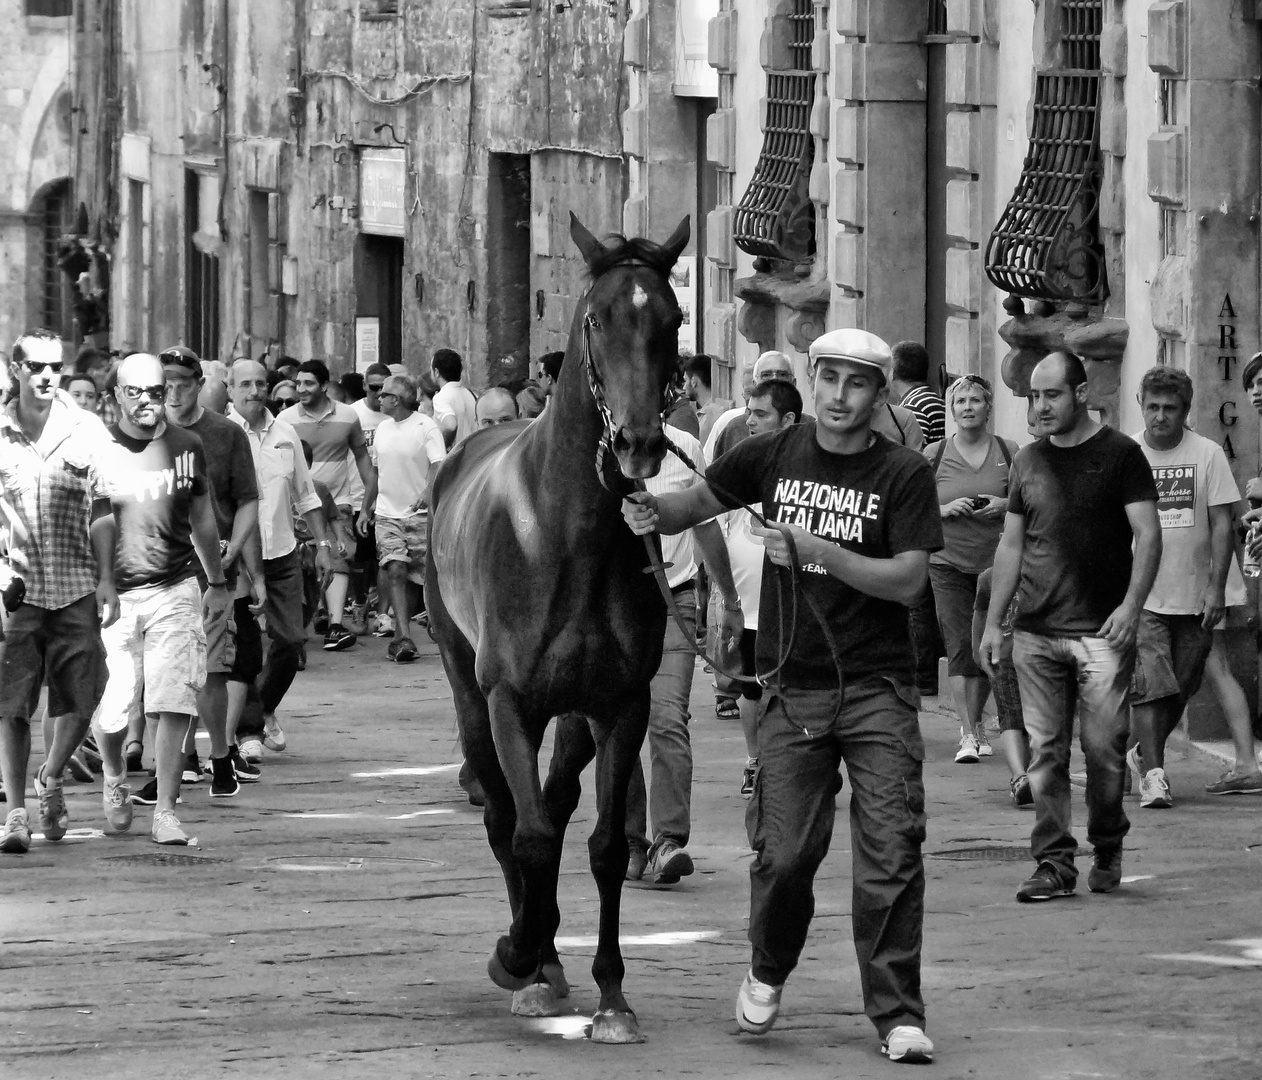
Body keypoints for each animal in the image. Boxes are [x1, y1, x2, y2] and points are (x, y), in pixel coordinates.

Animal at [429, 213, 696, 1044]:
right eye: (598, 318)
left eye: (673, 318)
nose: (640, 441)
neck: (564, 531)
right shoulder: (509, 699)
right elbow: (529, 833)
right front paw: (523, 955)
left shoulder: (623, 705)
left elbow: (604, 846)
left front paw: (611, 993)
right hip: (464, 682)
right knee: (505, 810)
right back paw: (535, 955)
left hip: (576, 711)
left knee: (555, 795)